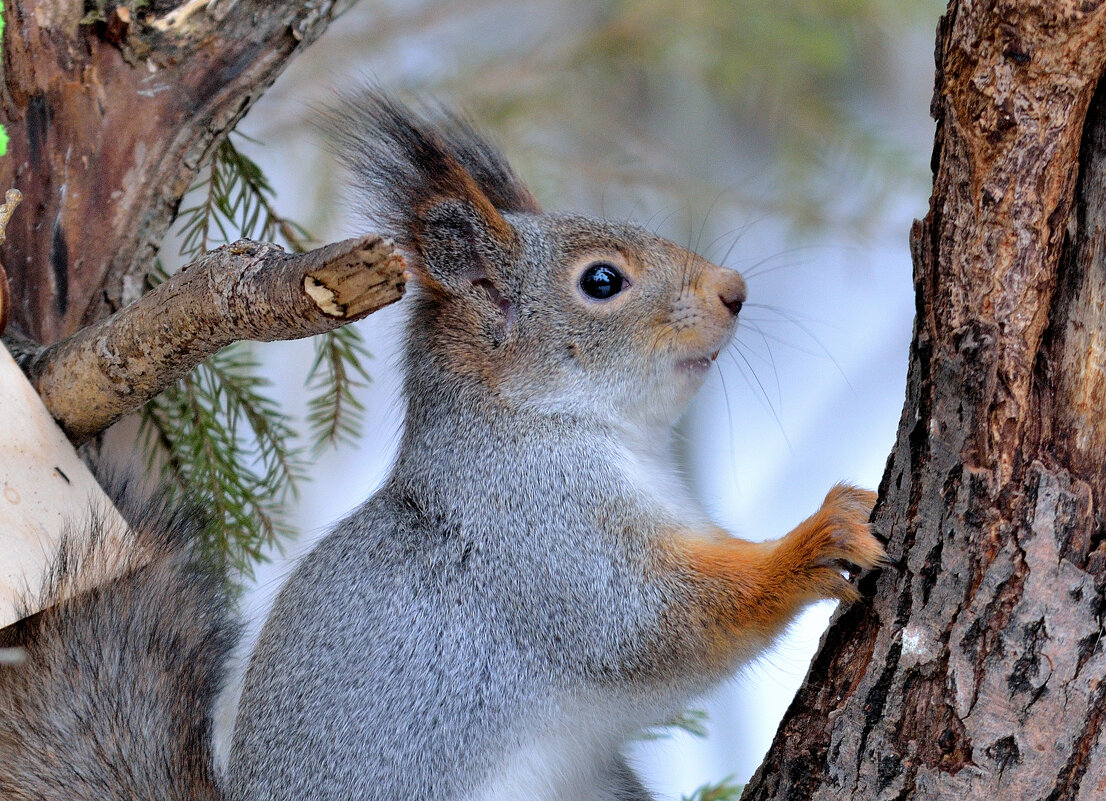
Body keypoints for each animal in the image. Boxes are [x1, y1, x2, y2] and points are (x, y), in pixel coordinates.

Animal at [0, 90, 884, 796]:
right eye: (602, 282)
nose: (735, 290)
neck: (566, 427)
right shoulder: (539, 535)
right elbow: (657, 620)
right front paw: (815, 540)